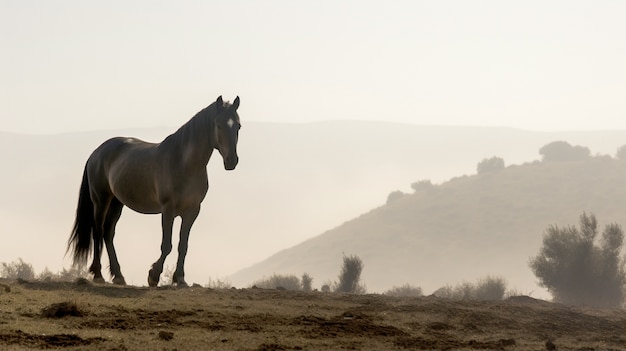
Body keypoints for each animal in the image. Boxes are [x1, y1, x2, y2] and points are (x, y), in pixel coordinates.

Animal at [67, 95, 240, 288]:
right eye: (219, 125)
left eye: (238, 126)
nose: (231, 161)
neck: (184, 163)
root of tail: (96, 153)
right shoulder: (168, 210)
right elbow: (167, 245)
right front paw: (153, 276)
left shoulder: (192, 211)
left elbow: (183, 245)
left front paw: (180, 278)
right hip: (101, 200)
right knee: (97, 232)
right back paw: (98, 275)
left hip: (117, 202)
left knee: (108, 233)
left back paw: (118, 276)